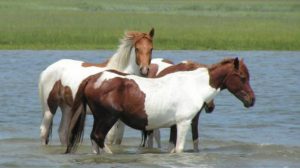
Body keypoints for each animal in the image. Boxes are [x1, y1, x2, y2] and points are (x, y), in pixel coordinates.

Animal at [64, 57, 254, 154]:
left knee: (94, 140)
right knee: (98, 137)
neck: (194, 85)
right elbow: (179, 149)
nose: (251, 100)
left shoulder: (175, 125)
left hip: (100, 118)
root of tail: (93, 78)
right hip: (108, 118)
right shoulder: (184, 122)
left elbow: (172, 147)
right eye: (242, 77)